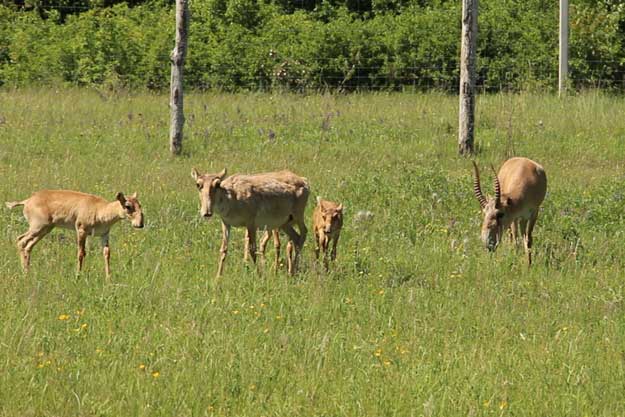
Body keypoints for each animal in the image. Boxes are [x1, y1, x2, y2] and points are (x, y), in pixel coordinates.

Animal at [5, 189, 144, 276]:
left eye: (139, 205)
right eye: (127, 206)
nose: (140, 224)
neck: (100, 208)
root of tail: (27, 201)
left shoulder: (104, 235)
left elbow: (107, 253)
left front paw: (108, 278)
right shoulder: (81, 231)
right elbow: (81, 253)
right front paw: (78, 275)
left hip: (45, 229)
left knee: (28, 245)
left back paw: (27, 271)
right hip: (37, 227)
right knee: (20, 240)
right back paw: (25, 273)